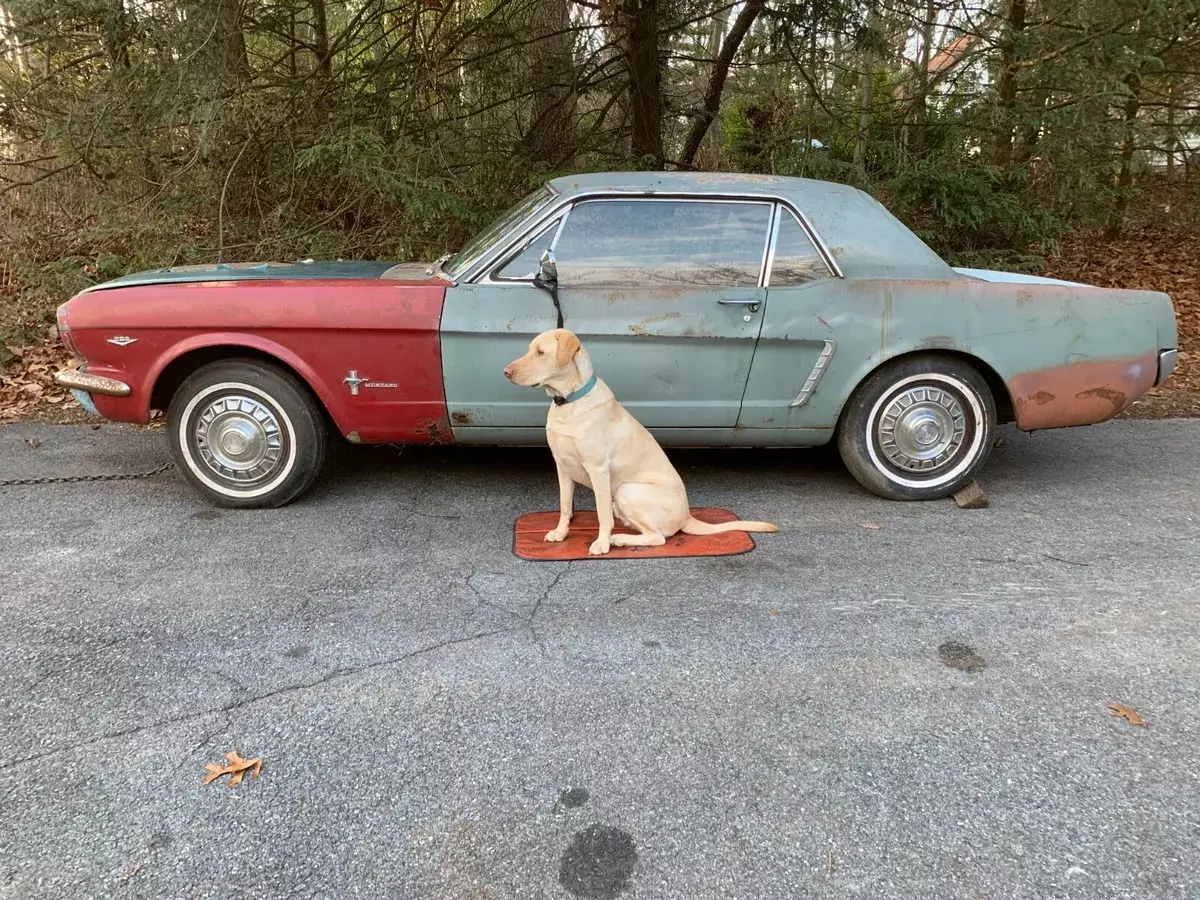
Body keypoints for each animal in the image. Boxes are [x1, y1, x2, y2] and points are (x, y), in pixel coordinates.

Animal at [504, 328, 777, 554]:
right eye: (529, 349)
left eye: (540, 352)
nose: (505, 372)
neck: (570, 401)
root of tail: (687, 515)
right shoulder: (562, 466)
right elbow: (564, 506)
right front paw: (561, 533)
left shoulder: (598, 469)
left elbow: (601, 513)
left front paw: (602, 543)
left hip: (628, 490)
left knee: (658, 537)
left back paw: (618, 539)